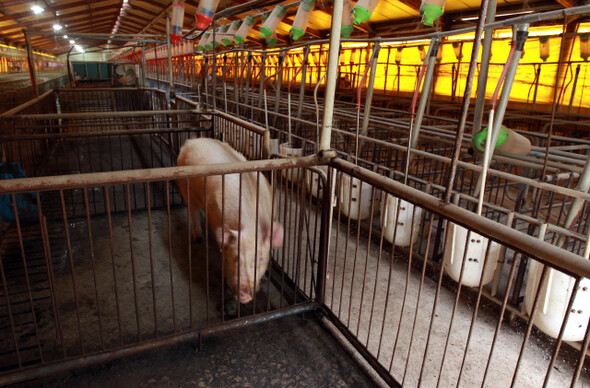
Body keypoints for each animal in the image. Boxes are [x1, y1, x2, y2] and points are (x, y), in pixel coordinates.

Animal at [177, 138, 286, 304]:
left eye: (260, 261)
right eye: (236, 258)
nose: (244, 296)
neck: (251, 225)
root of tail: (192, 140)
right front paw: (226, 283)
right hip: (184, 185)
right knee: (192, 210)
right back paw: (198, 238)